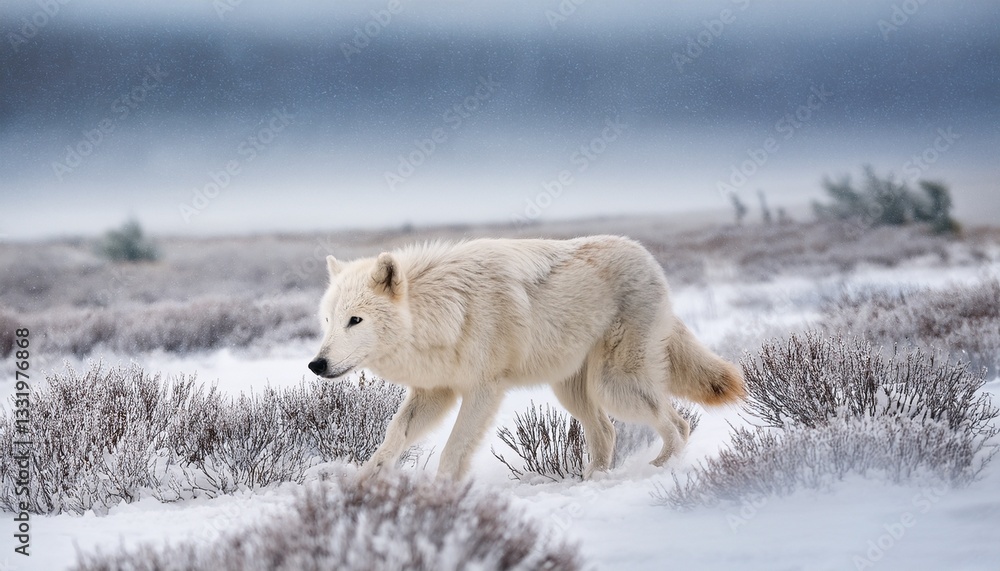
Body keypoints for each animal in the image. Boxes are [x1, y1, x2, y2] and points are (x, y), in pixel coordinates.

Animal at [308, 235, 744, 481]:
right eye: (327, 321)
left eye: (355, 320)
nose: (317, 364)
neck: (447, 311)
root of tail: (650, 260)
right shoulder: (435, 392)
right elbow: (392, 438)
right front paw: (363, 485)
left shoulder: (483, 390)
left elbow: (453, 451)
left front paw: (441, 497)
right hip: (573, 392)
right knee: (608, 432)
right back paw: (592, 480)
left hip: (614, 385)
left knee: (678, 425)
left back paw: (657, 470)